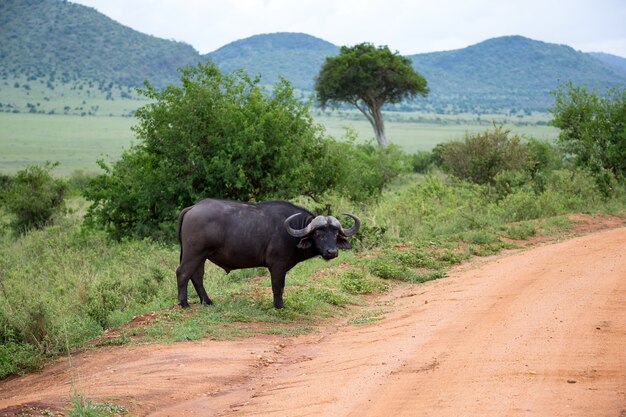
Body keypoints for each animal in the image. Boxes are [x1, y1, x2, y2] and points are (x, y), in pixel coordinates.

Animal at [176, 198, 360, 308]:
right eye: (318, 234)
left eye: (335, 234)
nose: (332, 252)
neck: (293, 231)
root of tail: (193, 207)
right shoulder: (277, 265)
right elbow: (278, 286)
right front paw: (279, 306)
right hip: (194, 253)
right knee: (183, 273)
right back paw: (184, 303)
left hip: (202, 256)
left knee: (197, 276)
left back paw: (207, 301)